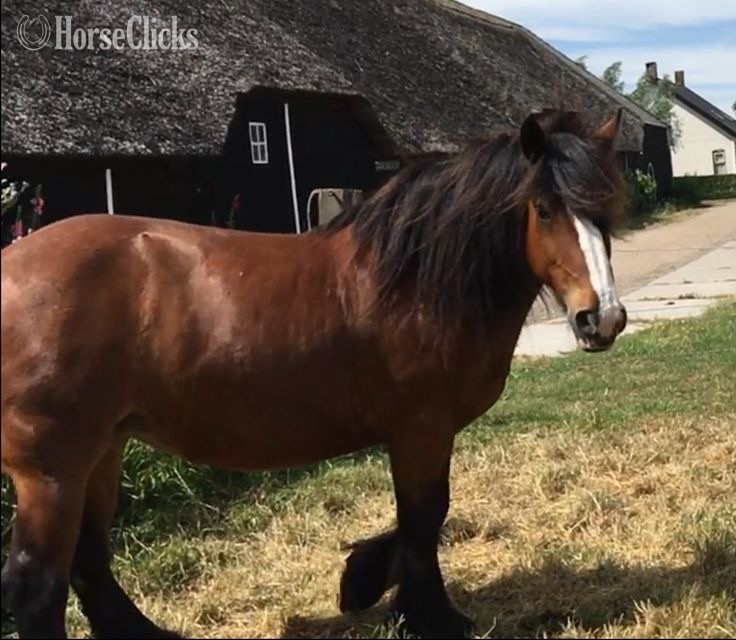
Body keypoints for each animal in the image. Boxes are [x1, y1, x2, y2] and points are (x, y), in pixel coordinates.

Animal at [1, 108, 628, 639]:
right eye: (543, 208)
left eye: (606, 207)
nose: (602, 318)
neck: (416, 280)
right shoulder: (421, 429)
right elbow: (426, 514)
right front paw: (430, 615)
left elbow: (416, 521)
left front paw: (364, 579)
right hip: (53, 470)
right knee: (37, 585)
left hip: (102, 450)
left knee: (89, 562)